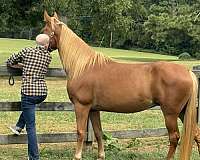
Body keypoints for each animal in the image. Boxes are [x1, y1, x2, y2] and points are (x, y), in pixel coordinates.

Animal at [43, 11, 200, 160]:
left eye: (44, 30)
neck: (83, 67)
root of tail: (187, 72)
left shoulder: (82, 106)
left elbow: (80, 132)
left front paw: (77, 156)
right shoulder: (94, 109)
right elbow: (98, 132)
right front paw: (101, 156)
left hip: (170, 113)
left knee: (174, 137)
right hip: (182, 111)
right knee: (196, 134)